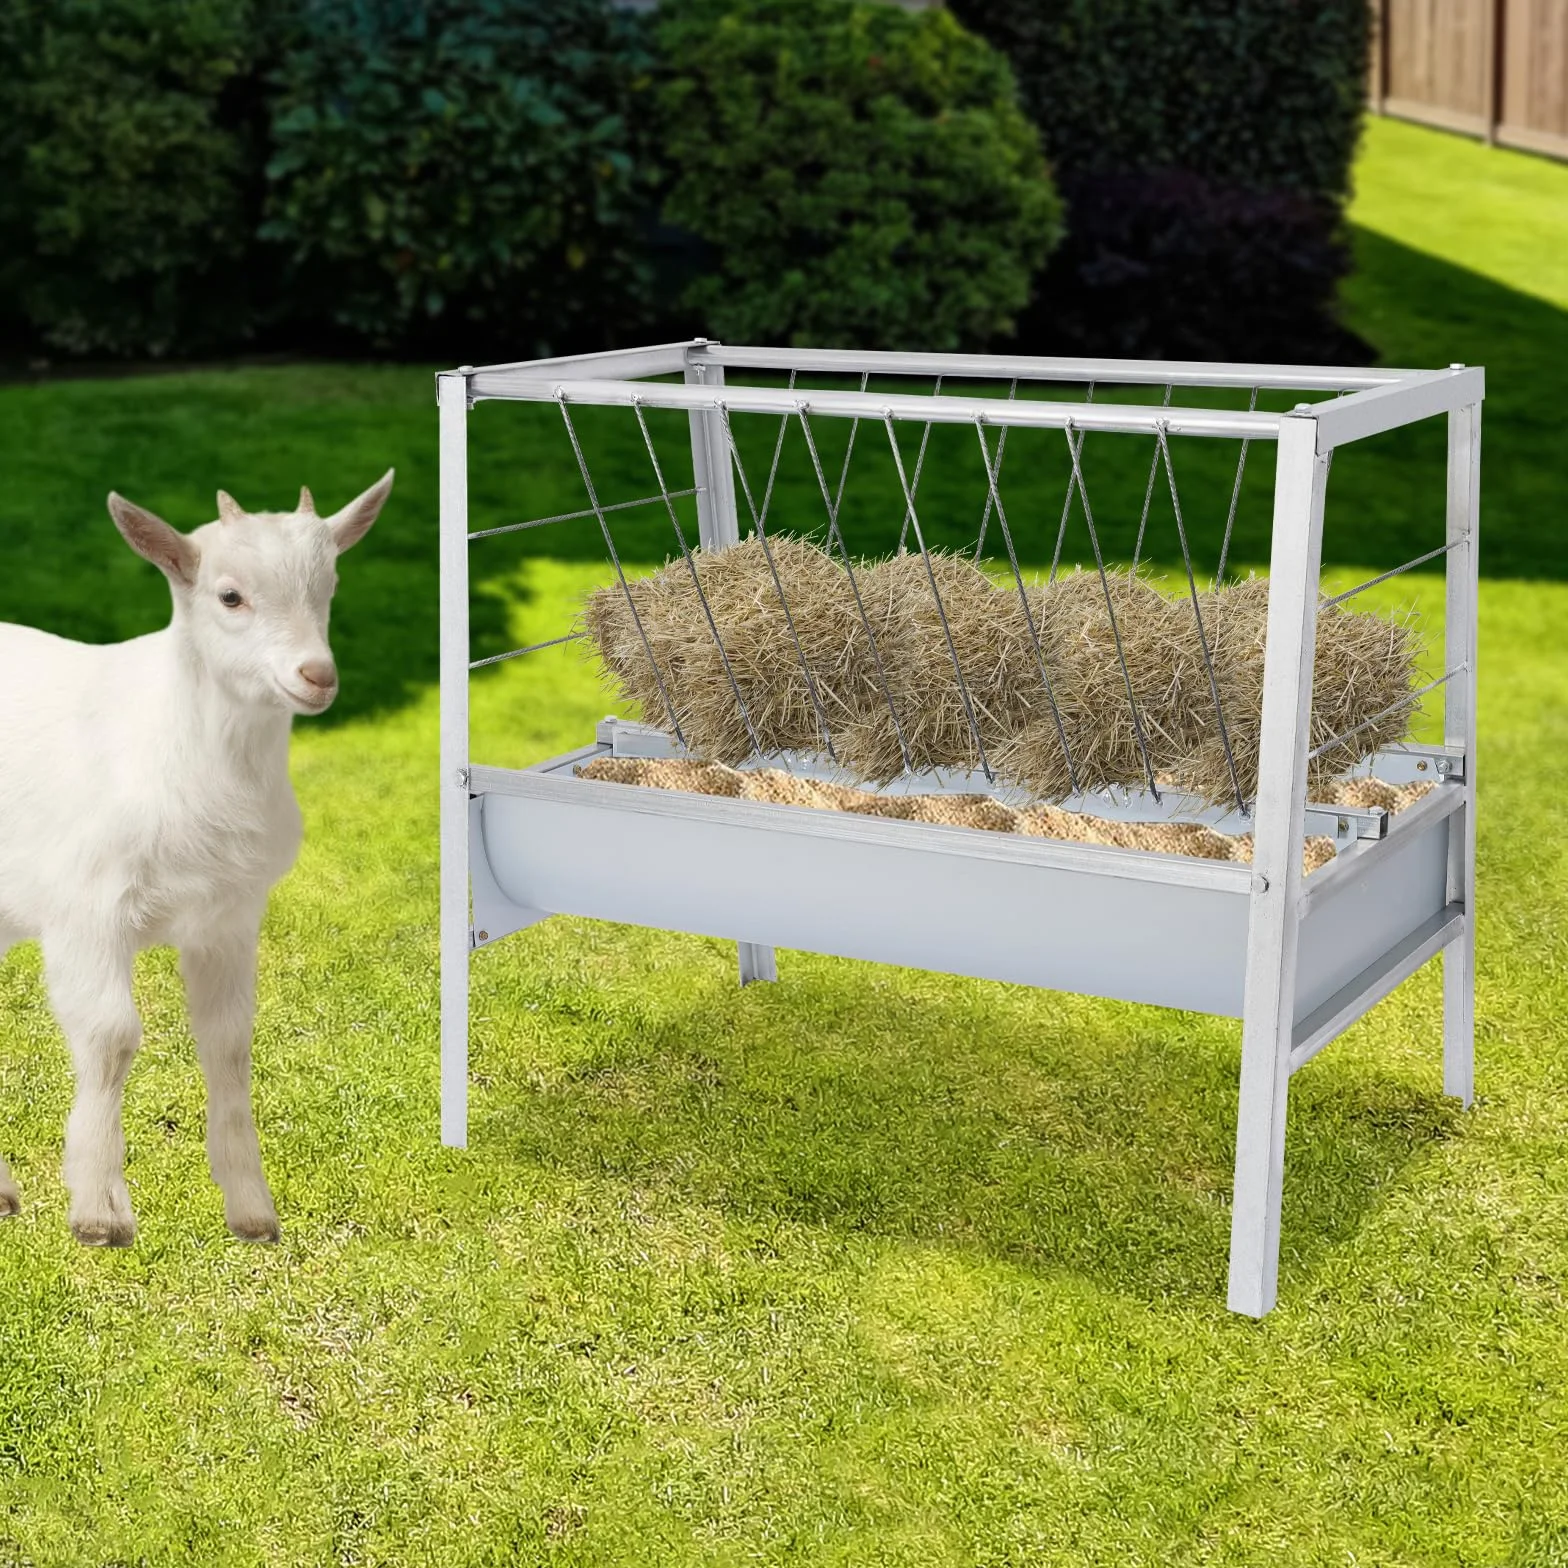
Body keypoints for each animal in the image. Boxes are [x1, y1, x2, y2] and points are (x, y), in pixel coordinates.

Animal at [0, 472, 393, 1245]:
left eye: (330, 585)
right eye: (229, 596)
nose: (317, 675)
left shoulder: (228, 918)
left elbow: (229, 1044)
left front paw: (252, 1210)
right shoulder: (86, 910)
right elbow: (113, 1036)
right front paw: (99, 1211)